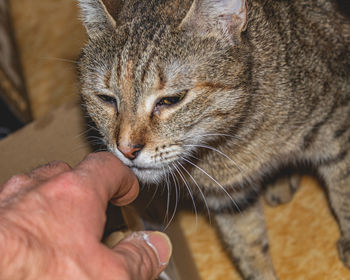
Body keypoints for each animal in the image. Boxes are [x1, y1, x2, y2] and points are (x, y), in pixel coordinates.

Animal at [76, 1, 350, 278]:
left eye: (171, 99)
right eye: (106, 99)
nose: (126, 149)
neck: (233, 145)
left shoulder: (338, 125)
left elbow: (344, 193)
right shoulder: (230, 198)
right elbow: (248, 249)